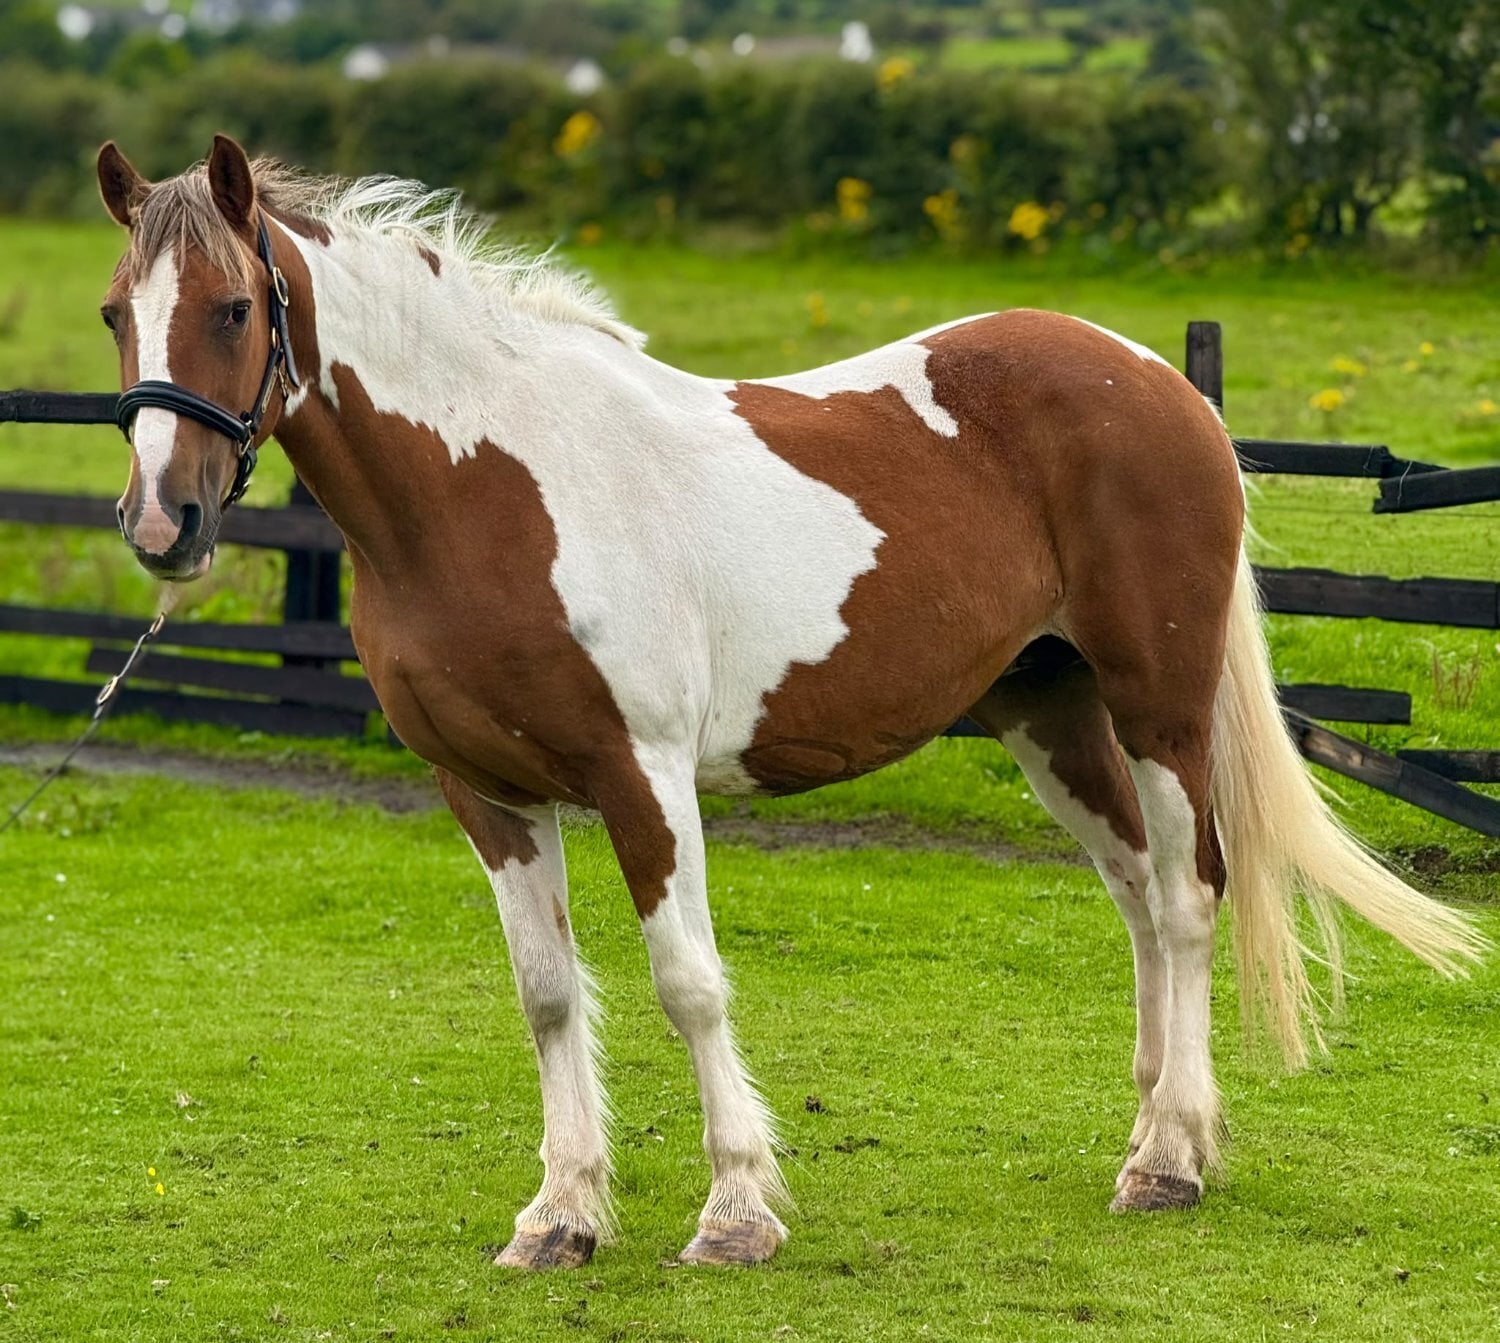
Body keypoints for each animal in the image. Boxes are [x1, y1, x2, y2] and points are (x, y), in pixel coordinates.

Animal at [93, 135, 1482, 1269]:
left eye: (232, 306)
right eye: (116, 313)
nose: (163, 524)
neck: (489, 489)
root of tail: (1159, 381)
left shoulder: (642, 773)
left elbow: (687, 981)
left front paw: (736, 1211)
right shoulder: (486, 791)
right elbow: (548, 992)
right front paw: (561, 1216)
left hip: (1161, 705)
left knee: (1191, 898)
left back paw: (1175, 1158)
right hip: (1048, 713)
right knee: (1138, 895)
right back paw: (1147, 1130)